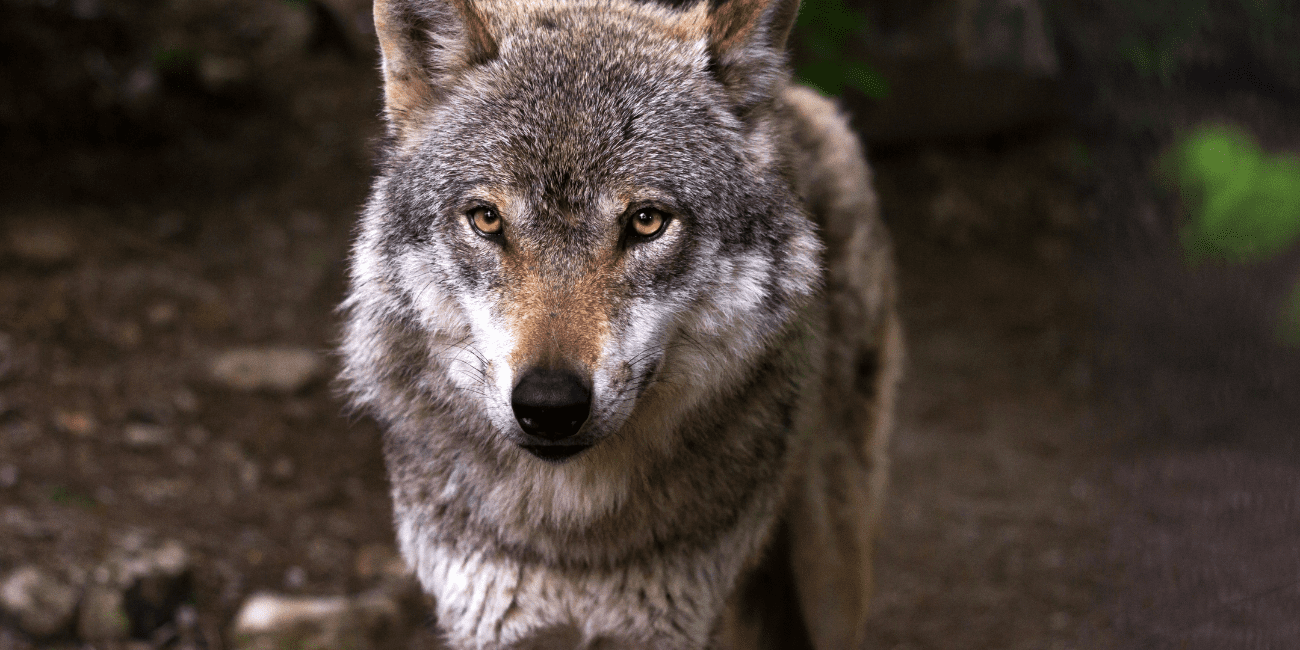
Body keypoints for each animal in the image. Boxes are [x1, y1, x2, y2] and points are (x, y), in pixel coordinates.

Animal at [338, 0, 904, 644]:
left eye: (647, 221)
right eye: (486, 219)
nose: (549, 405)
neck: (573, 540)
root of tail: (798, 96)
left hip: (831, 567)